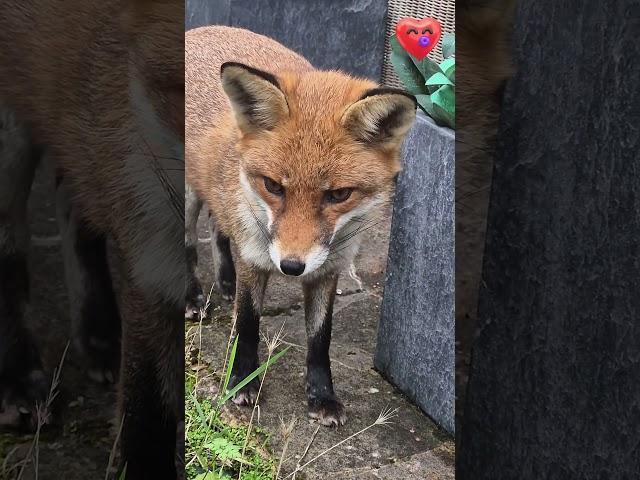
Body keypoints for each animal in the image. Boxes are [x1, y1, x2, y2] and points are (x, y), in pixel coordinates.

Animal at [0, 0, 185, 476]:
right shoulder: (154, 254)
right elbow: (148, 415)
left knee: (72, 200)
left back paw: (97, 331)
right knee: (10, 245)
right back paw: (18, 377)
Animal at [185, 25, 418, 424]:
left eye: (338, 194)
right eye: (274, 186)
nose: (291, 267)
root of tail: (199, 30)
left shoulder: (327, 271)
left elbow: (320, 338)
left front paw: (322, 396)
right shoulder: (254, 257)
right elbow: (247, 324)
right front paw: (242, 381)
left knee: (217, 227)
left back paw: (225, 281)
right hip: (184, 192)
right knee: (184, 242)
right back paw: (193, 297)